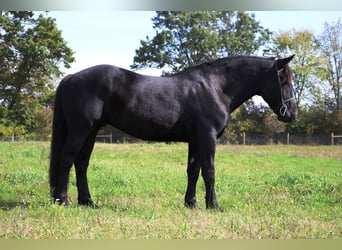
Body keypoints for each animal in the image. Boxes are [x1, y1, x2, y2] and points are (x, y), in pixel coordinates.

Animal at [48, 54, 296, 209]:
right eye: (284, 80)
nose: (292, 114)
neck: (215, 87)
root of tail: (71, 77)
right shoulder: (207, 138)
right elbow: (209, 171)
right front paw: (214, 206)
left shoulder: (196, 140)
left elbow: (193, 171)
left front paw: (191, 204)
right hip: (81, 130)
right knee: (66, 159)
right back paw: (63, 200)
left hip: (91, 132)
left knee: (81, 163)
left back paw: (87, 201)